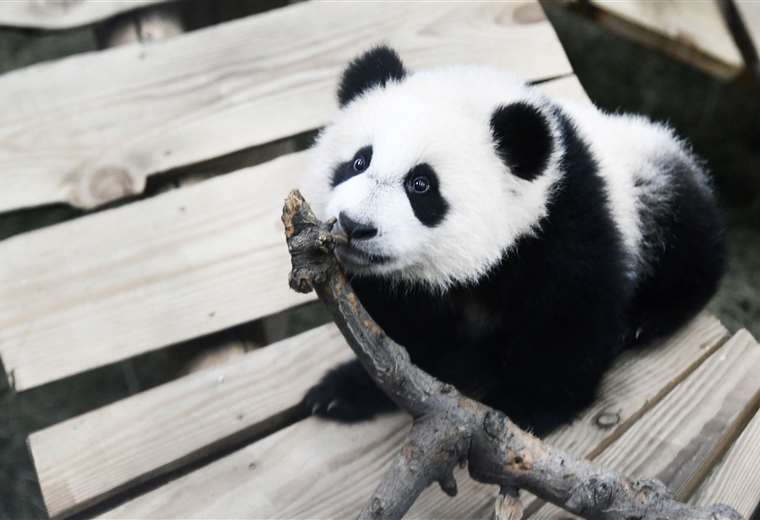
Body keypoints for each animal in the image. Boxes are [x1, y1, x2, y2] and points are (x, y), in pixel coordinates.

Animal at [300, 45, 728, 434]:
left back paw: (647, 319)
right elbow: (398, 332)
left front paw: (522, 408)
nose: (354, 225)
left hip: (653, 186)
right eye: (358, 162)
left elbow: (570, 315)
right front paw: (346, 390)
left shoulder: (567, 220)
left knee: (688, 246)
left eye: (421, 185)